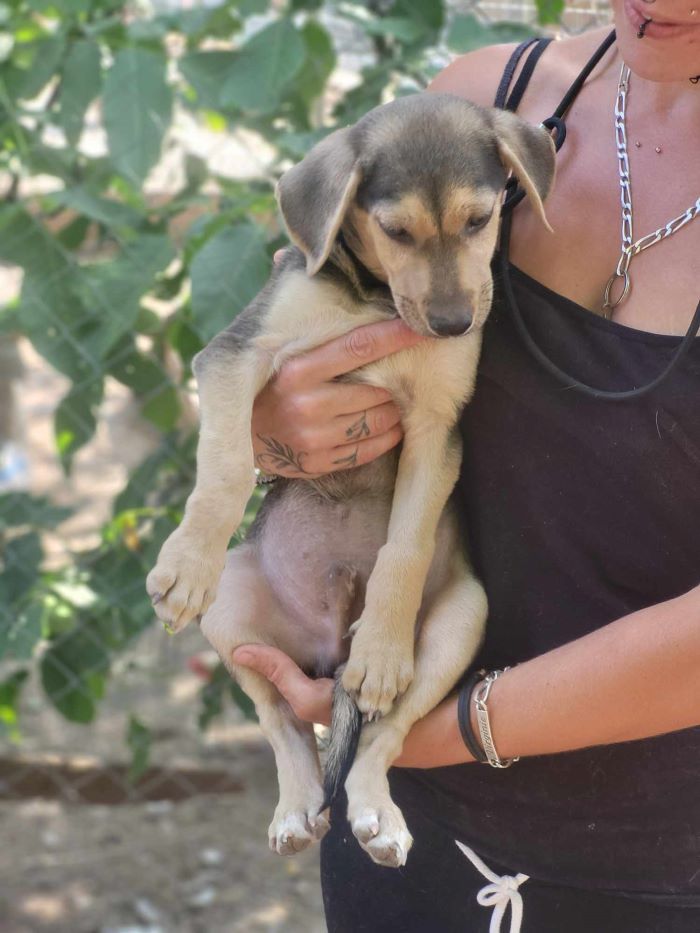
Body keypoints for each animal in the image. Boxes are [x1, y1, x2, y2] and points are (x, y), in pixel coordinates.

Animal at [146, 94, 552, 868]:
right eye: (395, 230)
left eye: (480, 220)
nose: (454, 323)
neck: (375, 301)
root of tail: (328, 650)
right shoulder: (237, 354)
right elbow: (223, 467)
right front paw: (186, 562)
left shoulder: (437, 421)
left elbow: (406, 545)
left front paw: (385, 646)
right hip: (236, 606)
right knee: (279, 718)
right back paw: (294, 808)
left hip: (463, 617)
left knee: (382, 733)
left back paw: (376, 810)